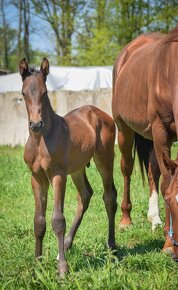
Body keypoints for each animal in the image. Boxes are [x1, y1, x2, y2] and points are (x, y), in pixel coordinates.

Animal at [19, 57, 117, 276]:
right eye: (23, 93)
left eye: (45, 92)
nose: (35, 124)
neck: (40, 141)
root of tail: (98, 112)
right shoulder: (37, 177)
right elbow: (39, 221)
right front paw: (38, 265)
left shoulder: (57, 175)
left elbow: (57, 220)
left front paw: (62, 270)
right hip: (77, 169)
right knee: (86, 195)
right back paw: (65, 246)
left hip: (104, 160)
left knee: (109, 197)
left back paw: (112, 247)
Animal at [112, 24, 178, 258]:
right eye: (172, 202)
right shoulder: (161, 132)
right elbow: (167, 182)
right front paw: (167, 245)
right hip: (124, 129)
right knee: (127, 169)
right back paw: (125, 220)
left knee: (152, 171)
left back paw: (154, 218)